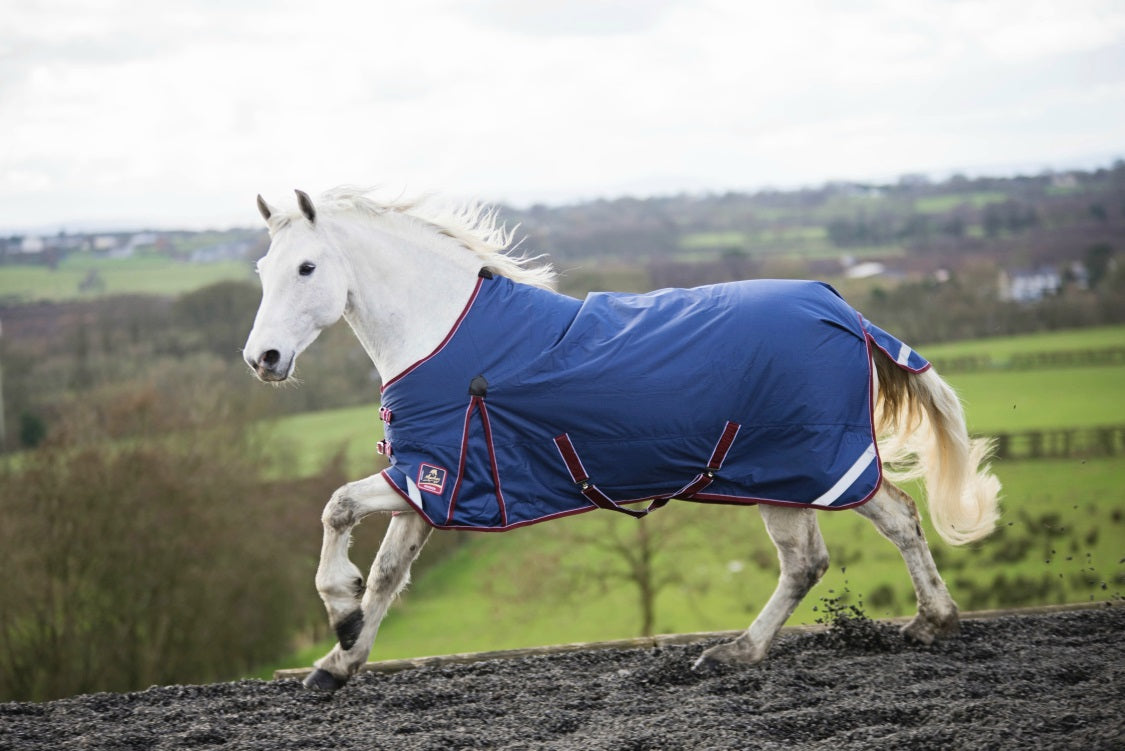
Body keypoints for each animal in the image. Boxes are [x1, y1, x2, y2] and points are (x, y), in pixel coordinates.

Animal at [243, 187, 1001, 693]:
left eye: (307, 268)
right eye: (261, 272)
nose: (263, 359)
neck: (443, 334)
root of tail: (844, 311)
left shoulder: (426, 474)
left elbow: (336, 510)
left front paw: (338, 614)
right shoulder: (427, 484)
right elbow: (386, 573)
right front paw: (338, 661)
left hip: (808, 465)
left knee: (868, 531)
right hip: (786, 474)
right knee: (829, 551)